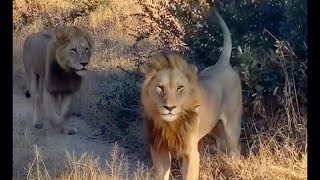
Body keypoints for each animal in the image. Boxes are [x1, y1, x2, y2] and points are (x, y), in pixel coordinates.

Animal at [141, 7, 242, 179]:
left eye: (179, 88)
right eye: (160, 87)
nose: (169, 108)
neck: (171, 124)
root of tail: (222, 64)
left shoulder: (191, 153)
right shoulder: (159, 150)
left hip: (233, 125)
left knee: (235, 149)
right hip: (214, 124)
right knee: (221, 142)